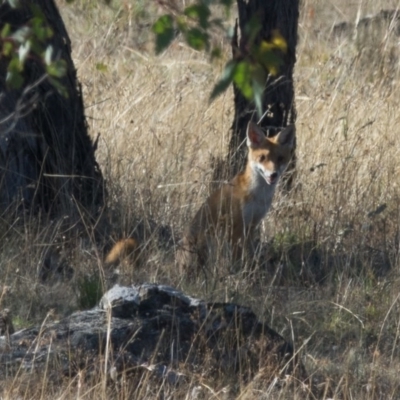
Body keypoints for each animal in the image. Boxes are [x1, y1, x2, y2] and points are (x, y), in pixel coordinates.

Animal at [177, 120, 294, 274]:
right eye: (262, 158)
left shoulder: (252, 223)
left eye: (280, 158)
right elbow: (236, 256)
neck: (257, 196)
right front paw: (236, 271)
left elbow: (247, 252)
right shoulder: (237, 225)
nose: (273, 174)